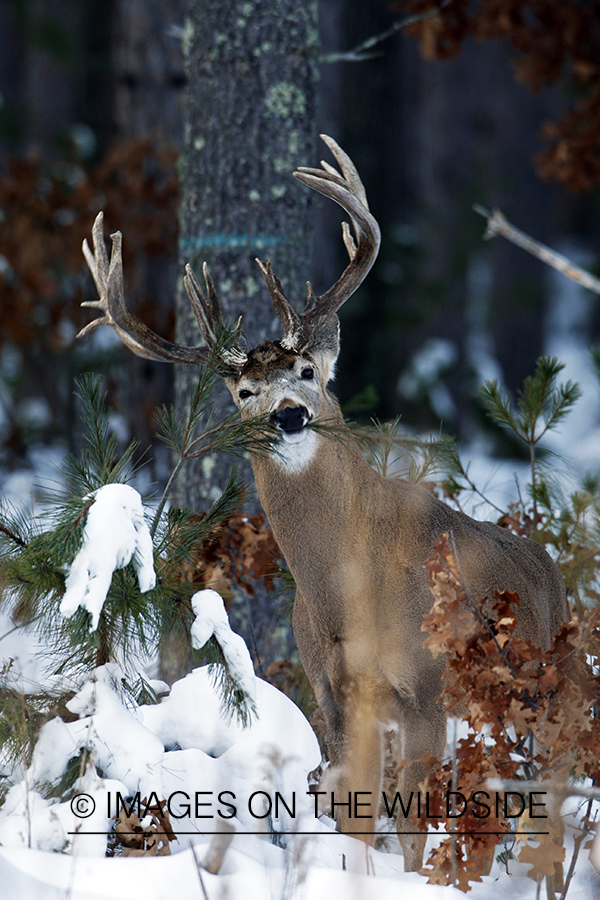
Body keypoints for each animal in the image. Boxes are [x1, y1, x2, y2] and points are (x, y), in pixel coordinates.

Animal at [78, 135, 568, 872]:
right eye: (243, 393)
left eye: (307, 371)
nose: (288, 415)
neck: (348, 588)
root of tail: (556, 573)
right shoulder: (336, 693)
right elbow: (353, 820)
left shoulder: (425, 685)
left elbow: (413, 828)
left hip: (546, 689)